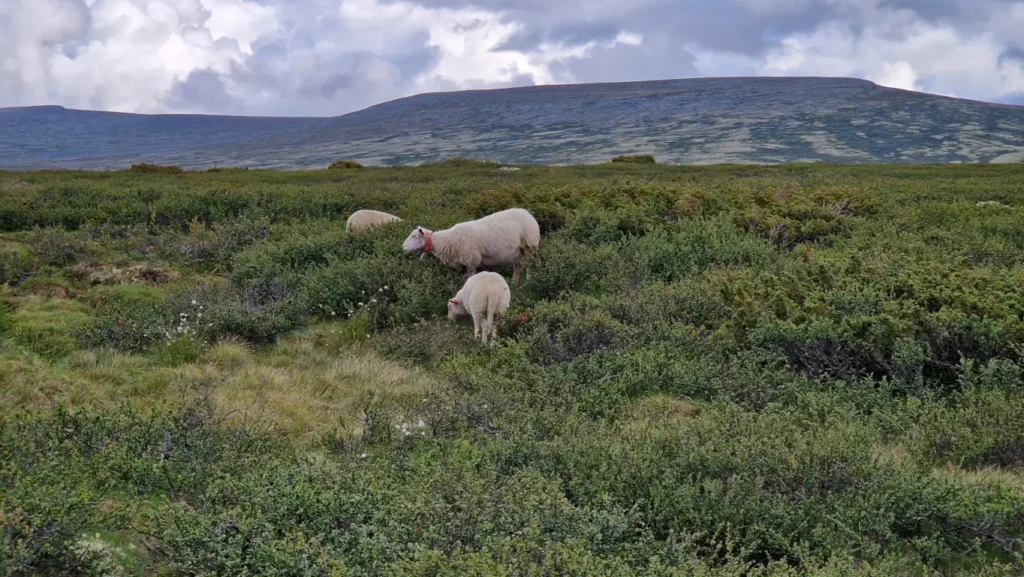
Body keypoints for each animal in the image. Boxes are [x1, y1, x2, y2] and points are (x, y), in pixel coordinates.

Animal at [401, 209, 540, 282]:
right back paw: (514, 282)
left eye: (414, 236)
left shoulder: (471, 262)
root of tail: (529, 214)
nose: (403, 247)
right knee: (518, 266)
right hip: (518, 252)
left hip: (530, 247)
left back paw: (529, 281)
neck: (448, 240)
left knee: (530, 265)